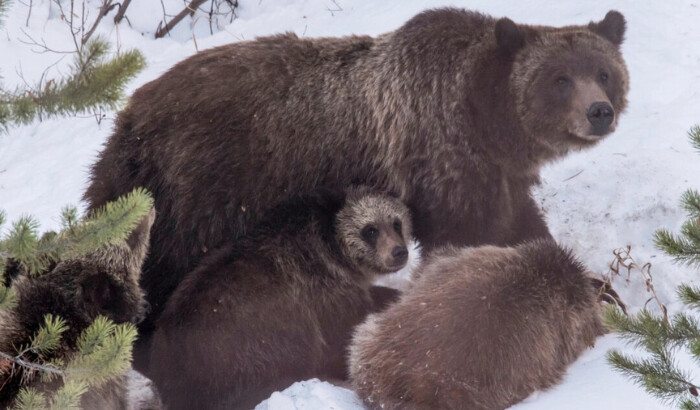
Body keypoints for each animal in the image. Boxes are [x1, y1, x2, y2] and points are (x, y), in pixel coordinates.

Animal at [82, 8, 628, 356]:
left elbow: (522, 228)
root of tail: (127, 117)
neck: (485, 120)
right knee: (163, 268)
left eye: (604, 71)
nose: (599, 111)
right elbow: (469, 240)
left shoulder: (496, 176)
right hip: (202, 189)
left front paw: (600, 288)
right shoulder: (441, 161)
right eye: (559, 79)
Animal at [148, 187, 410, 408]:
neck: (337, 254)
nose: (399, 252)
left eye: (396, 223)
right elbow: (343, 336)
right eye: (371, 230)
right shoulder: (324, 294)